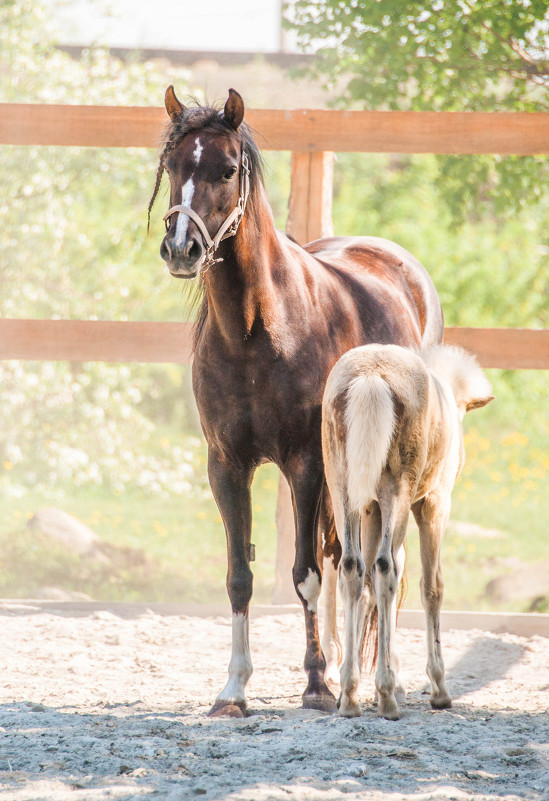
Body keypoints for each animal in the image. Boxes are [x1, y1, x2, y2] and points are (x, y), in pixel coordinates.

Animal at [150, 87, 446, 720]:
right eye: (173, 166)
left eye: (227, 169)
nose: (181, 248)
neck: (257, 330)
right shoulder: (226, 465)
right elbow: (241, 575)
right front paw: (234, 689)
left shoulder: (303, 465)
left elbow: (305, 572)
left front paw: (316, 685)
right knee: (344, 558)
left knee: (379, 566)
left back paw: (376, 677)